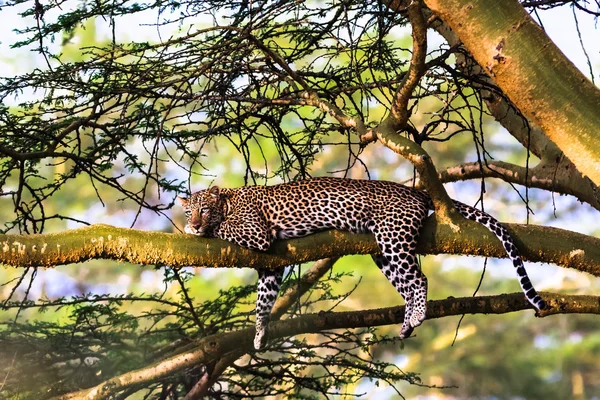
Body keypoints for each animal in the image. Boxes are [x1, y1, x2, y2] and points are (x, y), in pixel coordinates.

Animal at [176, 178, 548, 350]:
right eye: (188, 210)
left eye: (203, 209)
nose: (192, 222)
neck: (229, 198)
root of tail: (417, 191)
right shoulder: (271, 264)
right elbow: (263, 302)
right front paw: (259, 334)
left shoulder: (257, 234)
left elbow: (224, 229)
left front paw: (200, 231)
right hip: (383, 251)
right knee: (409, 284)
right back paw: (407, 324)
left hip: (393, 238)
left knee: (420, 281)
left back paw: (416, 317)